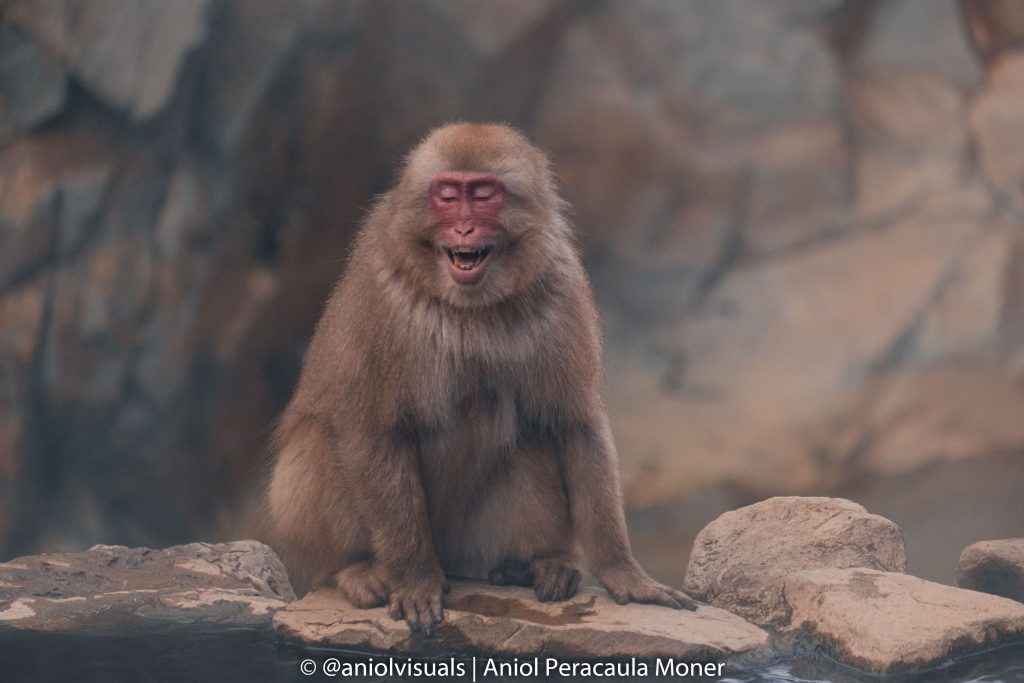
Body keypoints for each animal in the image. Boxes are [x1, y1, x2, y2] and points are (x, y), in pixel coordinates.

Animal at [266, 121, 696, 634]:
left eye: (485, 195)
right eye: (449, 195)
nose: (464, 228)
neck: (472, 306)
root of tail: (455, 560)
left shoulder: (561, 286)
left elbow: (576, 424)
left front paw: (622, 570)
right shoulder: (381, 294)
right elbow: (373, 428)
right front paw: (414, 579)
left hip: (471, 540)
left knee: (533, 438)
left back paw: (534, 563)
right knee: (318, 439)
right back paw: (354, 570)